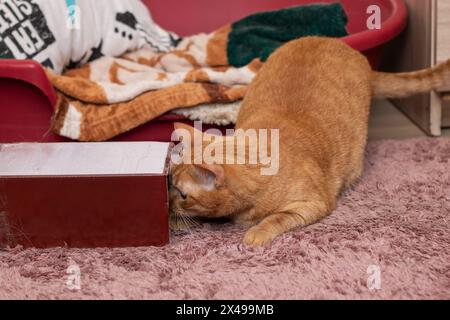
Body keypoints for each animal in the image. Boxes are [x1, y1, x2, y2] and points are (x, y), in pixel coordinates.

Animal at [170, 36, 450, 246]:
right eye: (169, 182)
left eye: (183, 194)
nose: (170, 203)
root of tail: (342, 46)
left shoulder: (312, 205)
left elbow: (275, 219)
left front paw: (256, 232)